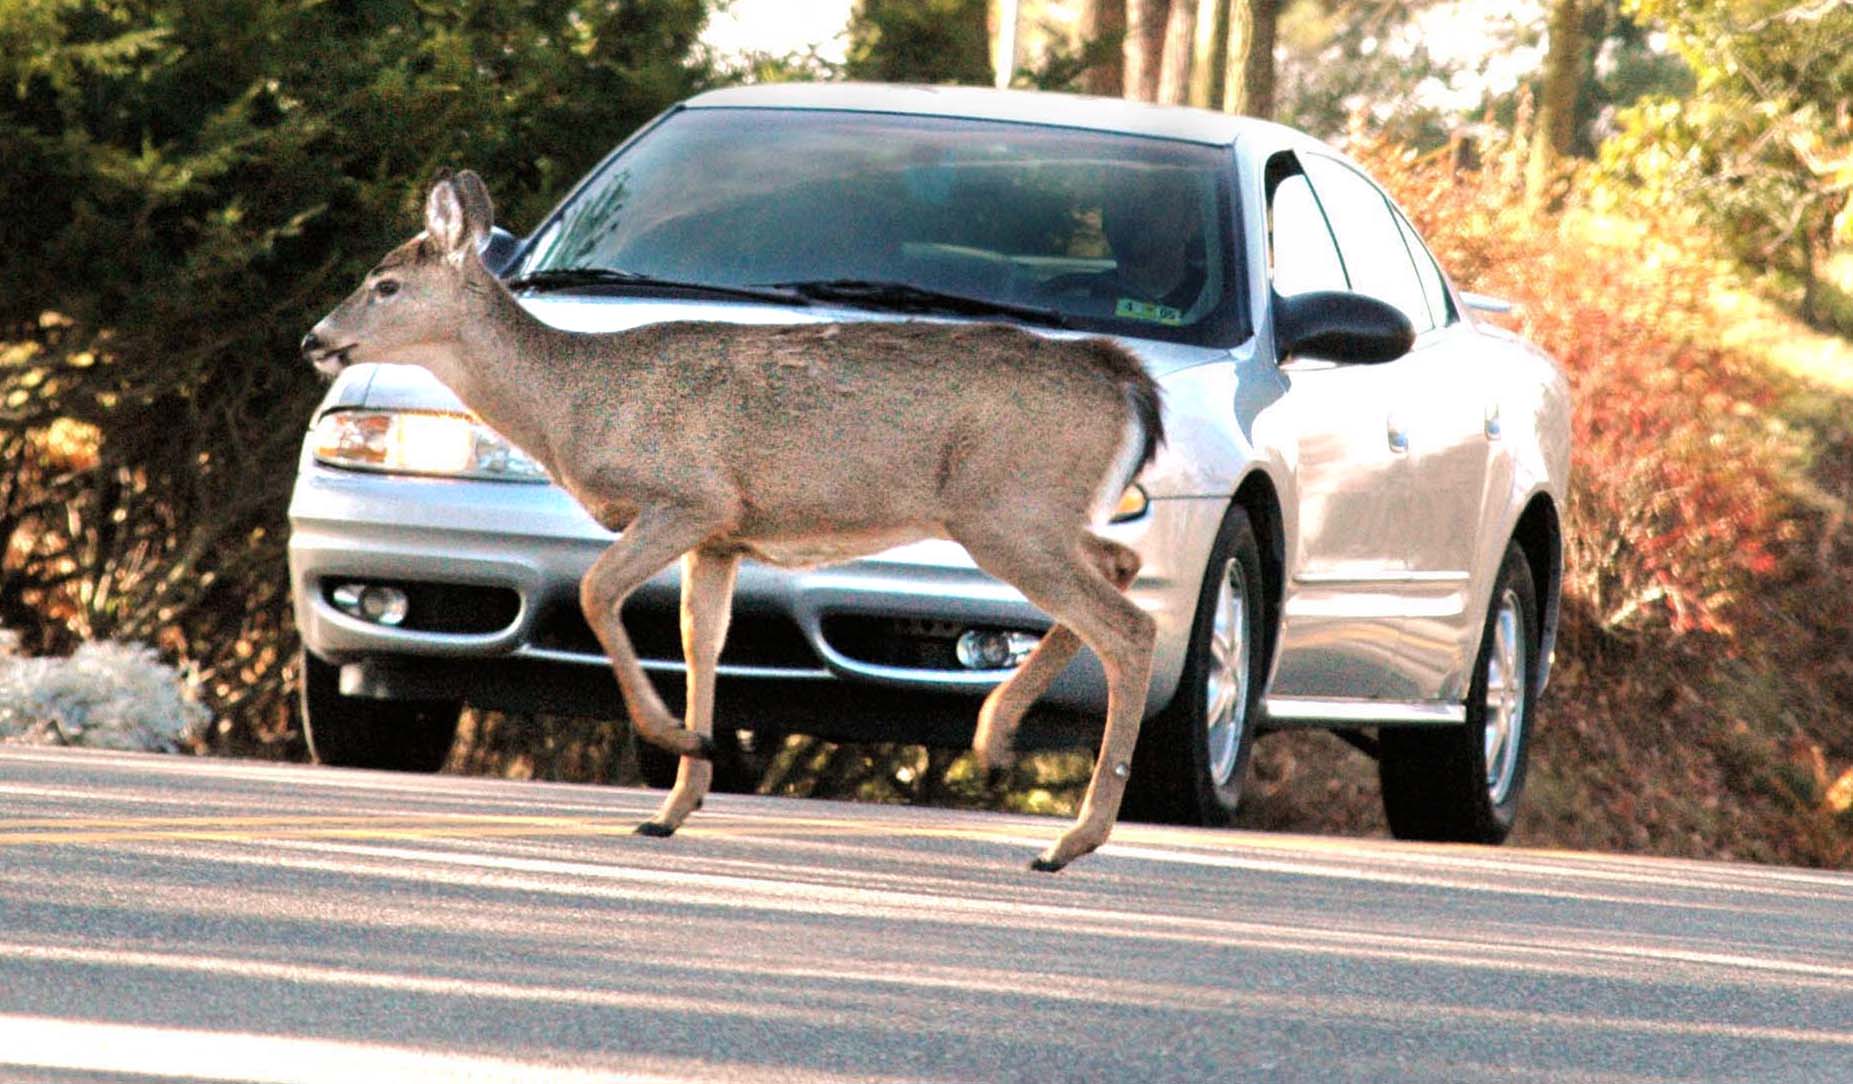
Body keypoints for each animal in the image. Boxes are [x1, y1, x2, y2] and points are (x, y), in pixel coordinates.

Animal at [301, 171, 1163, 871]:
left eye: (385, 285)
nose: (315, 340)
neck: (575, 405)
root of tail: (1126, 383)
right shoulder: (721, 538)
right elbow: (700, 640)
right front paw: (674, 806)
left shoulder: (691, 498)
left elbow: (596, 592)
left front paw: (679, 742)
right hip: (1037, 513)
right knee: (1120, 569)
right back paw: (996, 738)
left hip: (1004, 510)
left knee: (1129, 626)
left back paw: (1067, 839)